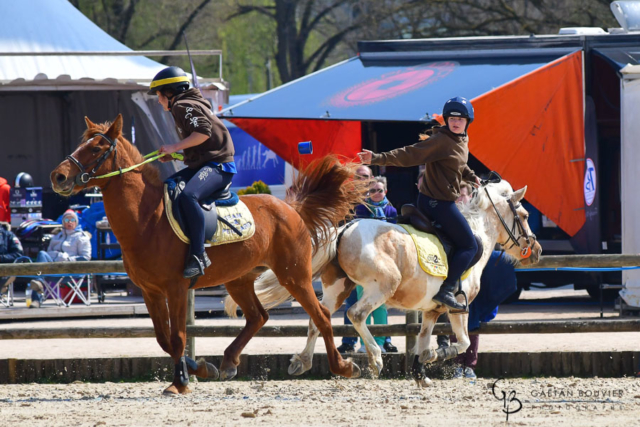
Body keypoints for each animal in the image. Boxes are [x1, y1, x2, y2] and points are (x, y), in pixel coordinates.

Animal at [52, 115, 368, 396]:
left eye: (96, 148)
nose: (58, 176)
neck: (147, 220)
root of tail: (290, 208)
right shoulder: (150, 292)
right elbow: (164, 340)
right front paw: (200, 368)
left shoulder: (176, 289)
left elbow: (178, 337)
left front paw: (179, 383)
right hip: (240, 280)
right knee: (258, 316)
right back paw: (228, 361)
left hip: (295, 276)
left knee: (321, 316)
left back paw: (341, 367)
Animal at [228, 179, 544, 382]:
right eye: (525, 214)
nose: (537, 250)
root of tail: (345, 228)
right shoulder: (457, 308)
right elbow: (464, 342)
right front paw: (440, 353)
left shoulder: (432, 310)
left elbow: (423, 340)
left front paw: (423, 368)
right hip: (381, 286)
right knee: (356, 315)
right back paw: (375, 358)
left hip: (337, 289)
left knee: (320, 317)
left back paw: (302, 361)